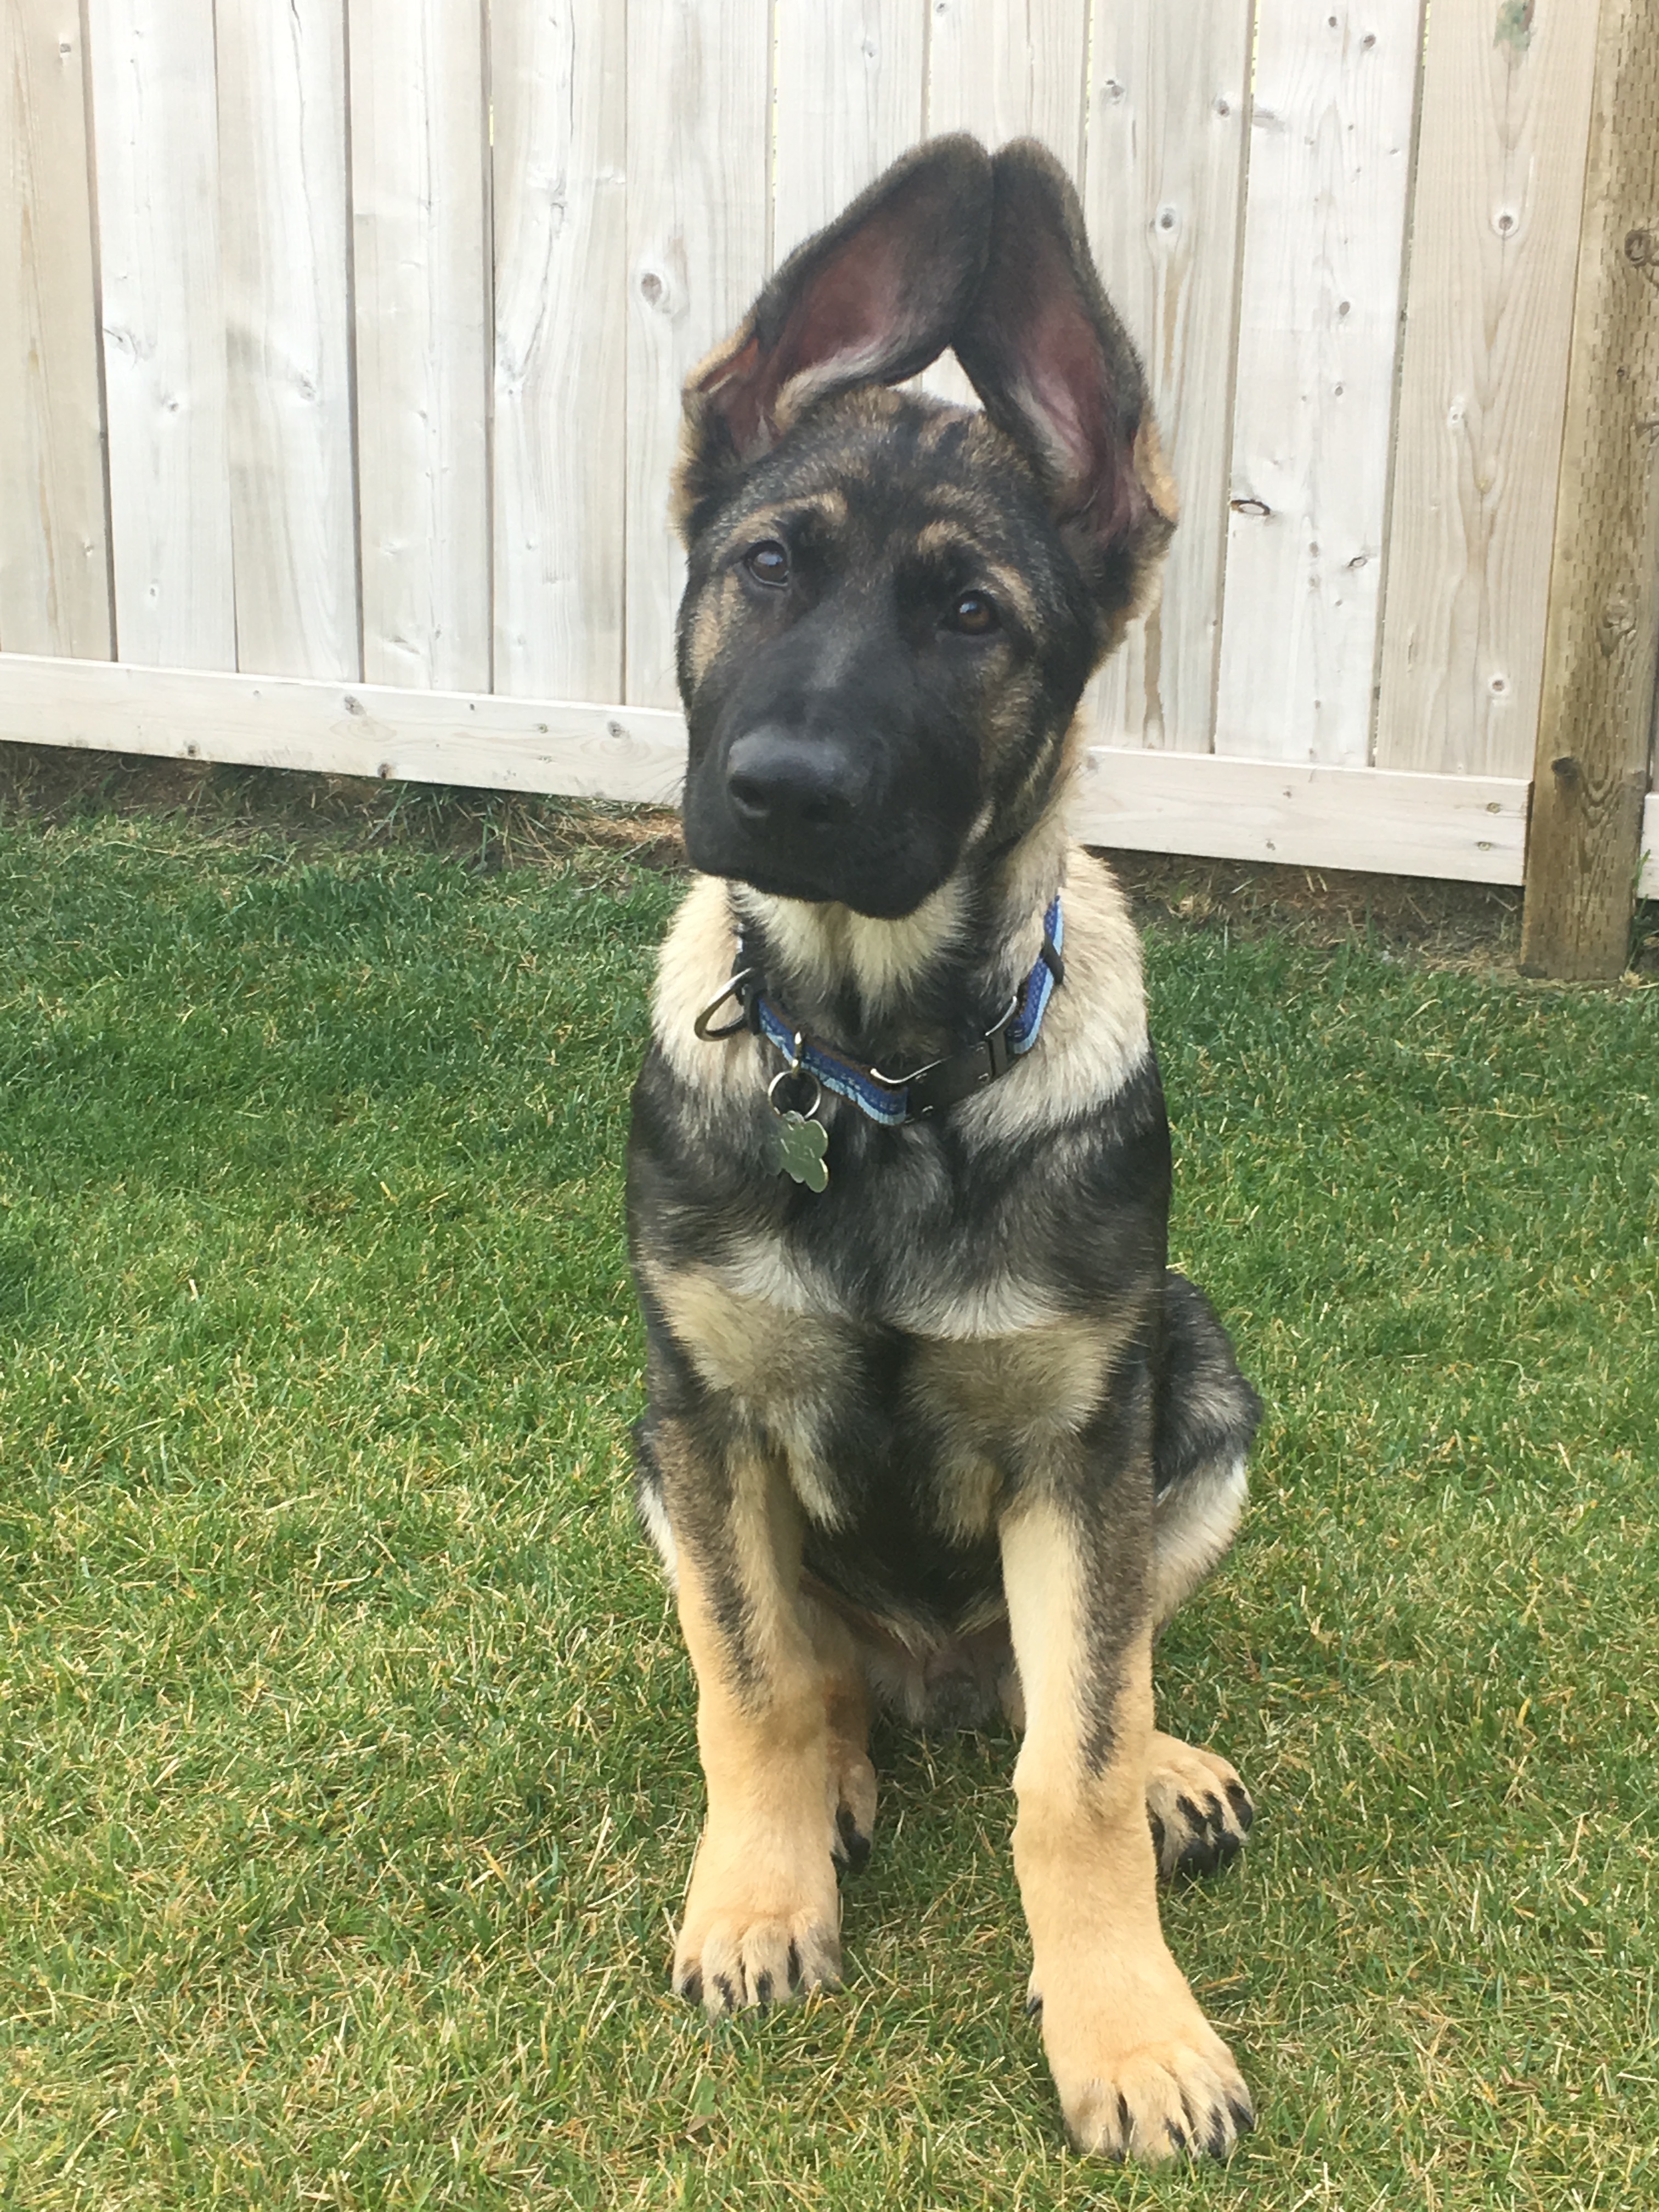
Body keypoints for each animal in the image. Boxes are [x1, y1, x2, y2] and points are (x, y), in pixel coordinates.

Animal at [626, 135, 1262, 2164]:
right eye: (768, 566)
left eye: (973, 619)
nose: (786, 797)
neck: (881, 1072)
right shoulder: (709, 1413)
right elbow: (748, 1687)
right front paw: (754, 1899)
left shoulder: (1083, 1450)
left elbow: (1074, 1770)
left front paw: (1130, 2025)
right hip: (653, 1455)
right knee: (811, 1667)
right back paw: (835, 1775)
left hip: (1195, 1390)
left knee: (1086, 1689)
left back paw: (1169, 1765)